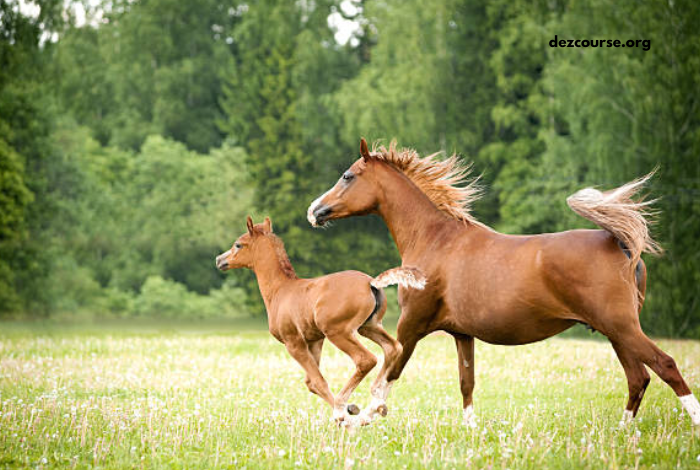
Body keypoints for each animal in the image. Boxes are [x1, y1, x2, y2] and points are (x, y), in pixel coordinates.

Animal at [215, 217, 426, 426]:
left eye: (238, 244)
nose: (219, 260)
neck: (280, 291)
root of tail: (371, 283)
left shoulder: (294, 342)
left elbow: (317, 381)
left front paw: (344, 414)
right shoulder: (314, 340)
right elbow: (311, 382)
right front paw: (351, 409)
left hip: (338, 332)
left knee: (366, 359)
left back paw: (347, 405)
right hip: (369, 327)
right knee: (393, 348)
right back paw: (377, 403)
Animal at [308, 139, 700, 430]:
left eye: (348, 175)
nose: (314, 210)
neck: (436, 240)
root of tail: (619, 242)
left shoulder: (413, 323)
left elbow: (391, 370)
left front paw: (361, 415)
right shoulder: (461, 334)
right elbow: (466, 382)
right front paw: (469, 428)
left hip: (621, 326)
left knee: (664, 365)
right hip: (616, 331)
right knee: (638, 377)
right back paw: (622, 431)